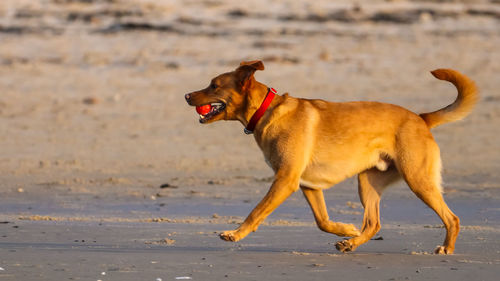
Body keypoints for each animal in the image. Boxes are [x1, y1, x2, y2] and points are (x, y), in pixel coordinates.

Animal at [184, 60, 476, 253]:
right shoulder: (307, 185)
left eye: (213, 85)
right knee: (373, 223)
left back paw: (446, 248)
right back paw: (350, 242)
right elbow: (322, 221)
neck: (267, 111)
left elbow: (256, 212)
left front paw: (236, 233)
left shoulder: (285, 180)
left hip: (417, 179)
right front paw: (345, 229)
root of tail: (421, 118)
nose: (186, 95)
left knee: (452, 218)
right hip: (368, 183)